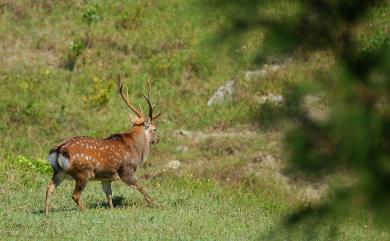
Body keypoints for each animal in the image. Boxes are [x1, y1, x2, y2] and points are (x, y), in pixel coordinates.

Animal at [44, 75, 161, 215]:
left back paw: (46, 213)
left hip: (59, 171)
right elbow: (141, 187)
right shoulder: (126, 171)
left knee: (49, 188)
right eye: (154, 129)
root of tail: (59, 150)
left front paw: (111, 209)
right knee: (75, 195)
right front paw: (156, 204)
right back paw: (86, 210)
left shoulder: (106, 177)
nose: (157, 140)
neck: (135, 150)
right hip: (83, 173)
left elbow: (109, 195)